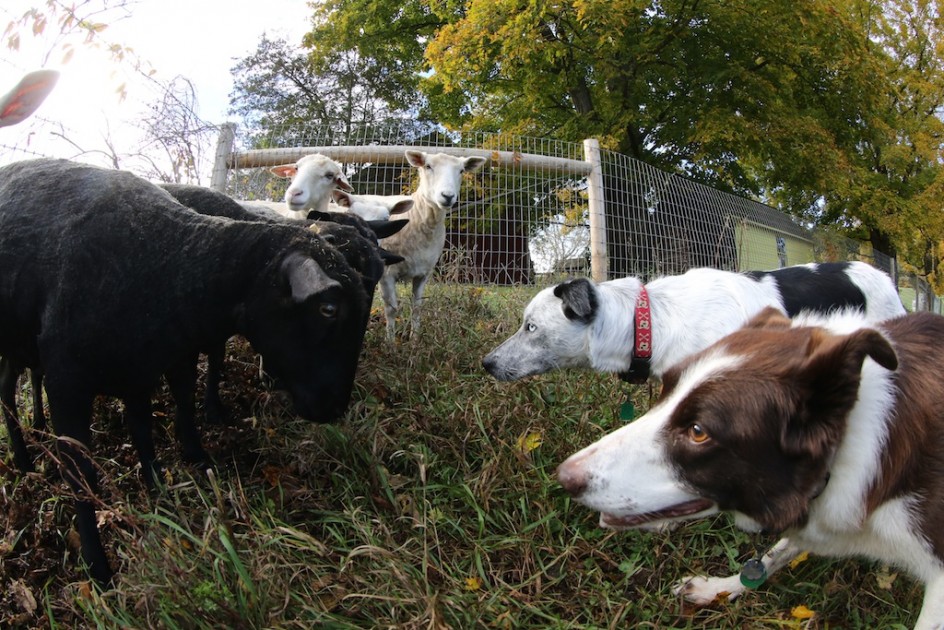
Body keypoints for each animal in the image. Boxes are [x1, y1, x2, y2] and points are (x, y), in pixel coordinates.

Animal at [0, 159, 372, 588]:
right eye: (328, 309)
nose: (335, 407)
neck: (176, 261)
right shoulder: (66, 384)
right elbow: (81, 478)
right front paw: (98, 569)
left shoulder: (140, 371)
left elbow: (144, 431)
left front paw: (161, 493)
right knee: (7, 392)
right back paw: (24, 461)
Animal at [376, 151, 486, 340]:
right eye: (428, 166)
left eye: (462, 170)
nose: (447, 196)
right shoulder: (387, 273)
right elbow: (391, 309)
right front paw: (390, 342)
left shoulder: (423, 273)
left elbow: (417, 307)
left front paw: (415, 340)